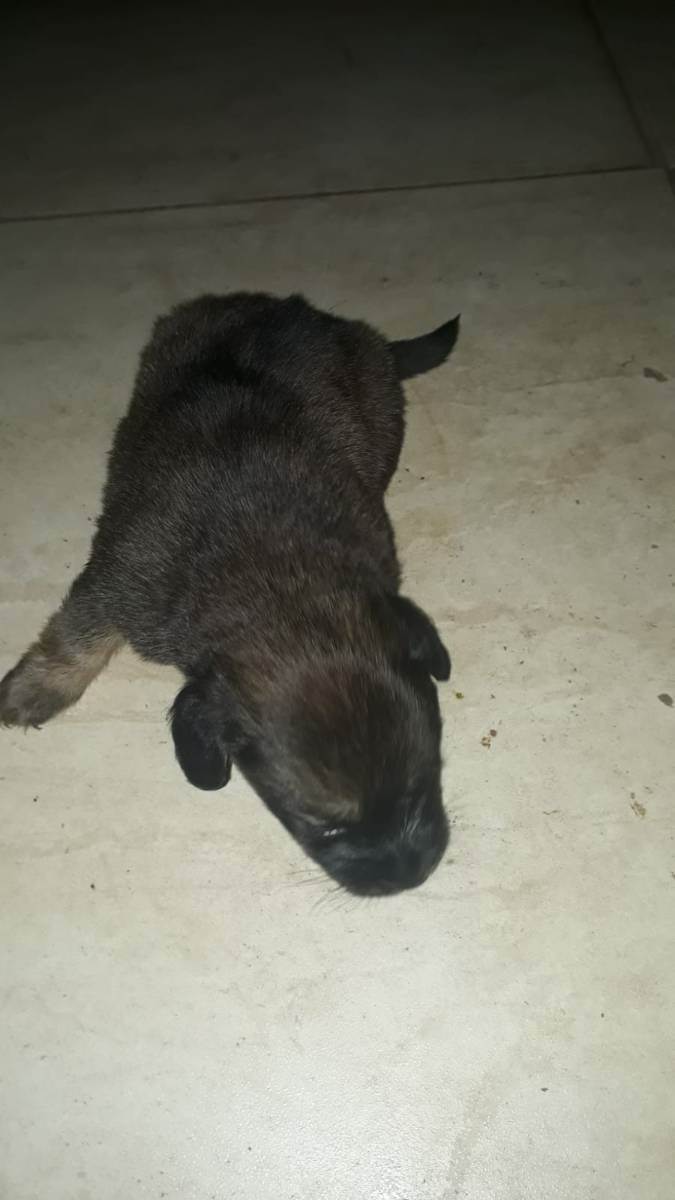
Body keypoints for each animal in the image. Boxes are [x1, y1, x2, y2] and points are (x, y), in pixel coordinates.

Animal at [0, 291, 459, 895]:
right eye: (324, 826)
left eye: (425, 782)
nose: (409, 875)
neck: (279, 582)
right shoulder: (116, 580)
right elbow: (75, 640)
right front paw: (33, 690)